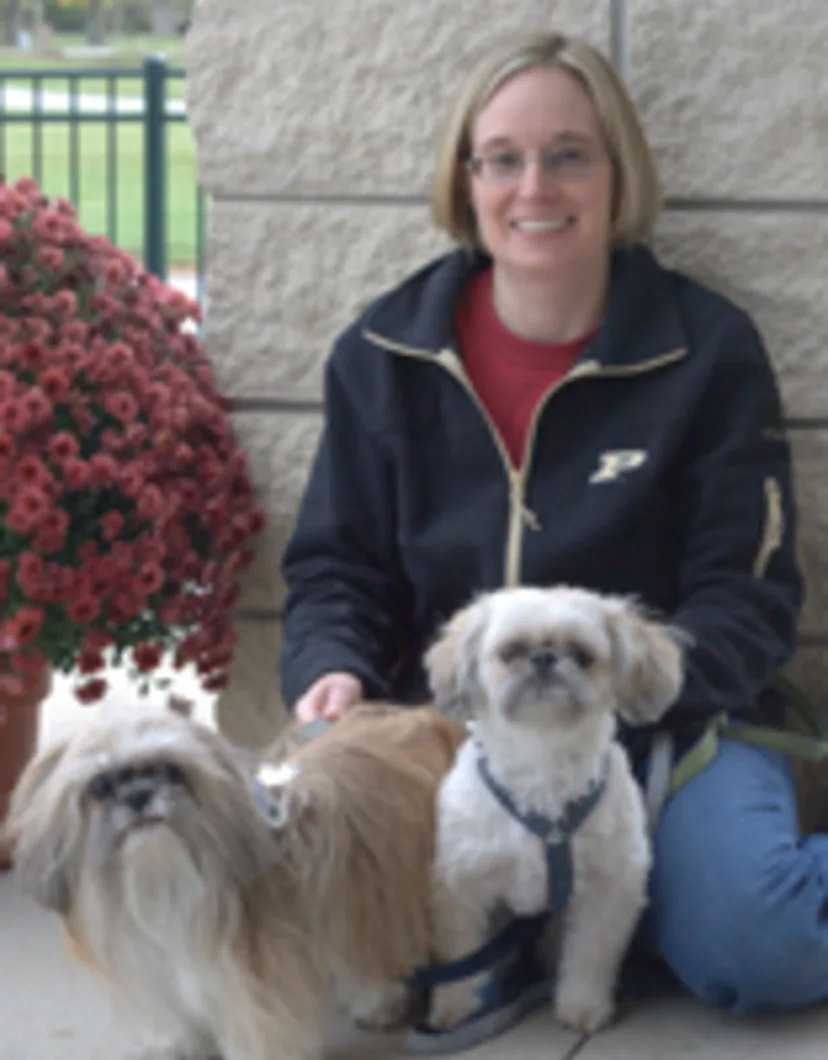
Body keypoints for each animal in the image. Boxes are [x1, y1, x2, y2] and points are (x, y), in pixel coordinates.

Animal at [419, 585, 682, 1030]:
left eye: (582, 654)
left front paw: (583, 1005)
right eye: (510, 652)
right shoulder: (460, 886)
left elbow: (591, 953)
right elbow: (463, 956)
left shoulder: (610, 886)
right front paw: (457, 1007)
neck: (543, 764)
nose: (544, 658)